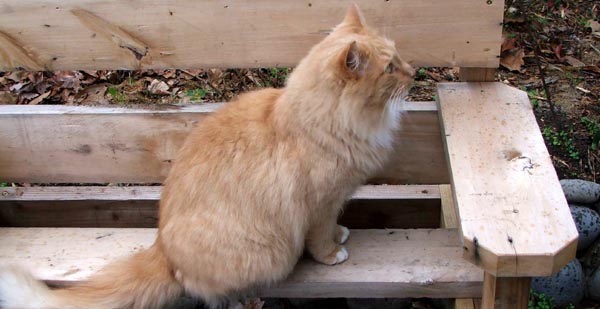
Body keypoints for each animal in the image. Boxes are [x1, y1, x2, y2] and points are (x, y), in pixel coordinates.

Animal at [0, 5, 412, 308]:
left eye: (400, 58)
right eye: (390, 68)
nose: (414, 71)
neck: (321, 121)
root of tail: (162, 249)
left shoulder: (335, 200)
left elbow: (334, 225)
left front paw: (342, 233)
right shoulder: (320, 206)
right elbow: (321, 237)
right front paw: (332, 252)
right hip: (266, 253)